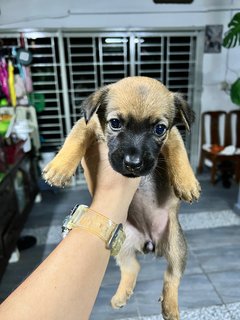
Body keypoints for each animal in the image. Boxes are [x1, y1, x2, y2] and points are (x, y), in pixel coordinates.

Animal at [42, 76, 201, 318]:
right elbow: (75, 138)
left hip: (176, 245)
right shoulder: (87, 124)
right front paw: (59, 167)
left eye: (159, 129)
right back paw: (120, 296)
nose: (133, 163)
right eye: (115, 123)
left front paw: (187, 182)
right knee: (132, 267)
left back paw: (170, 307)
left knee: (172, 276)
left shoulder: (172, 134)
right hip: (122, 244)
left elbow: (178, 150)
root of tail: (148, 241)